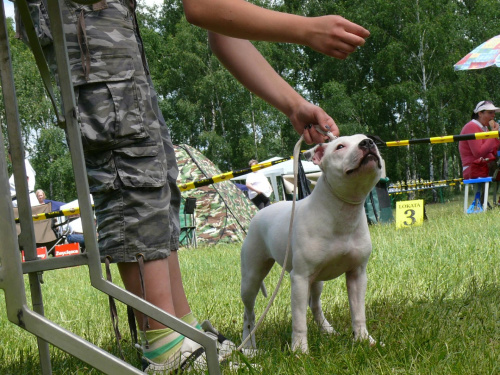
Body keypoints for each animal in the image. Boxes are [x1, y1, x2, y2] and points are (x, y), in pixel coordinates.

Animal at [242, 134, 382, 352]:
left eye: (368, 138)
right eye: (339, 147)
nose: (368, 143)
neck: (342, 212)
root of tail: (260, 213)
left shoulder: (357, 275)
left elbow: (358, 313)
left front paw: (364, 339)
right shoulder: (299, 278)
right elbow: (299, 320)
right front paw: (300, 350)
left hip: (317, 281)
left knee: (314, 304)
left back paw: (327, 330)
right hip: (251, 278)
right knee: (249, 314)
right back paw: (248, 346)